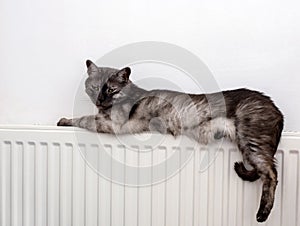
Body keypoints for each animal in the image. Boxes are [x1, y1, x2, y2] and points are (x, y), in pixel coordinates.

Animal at [58, 58, 284, 222]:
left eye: (111, 90)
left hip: (252, 141)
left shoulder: (113, 123)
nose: (99, 99)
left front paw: (65, 120)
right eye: (95, 87)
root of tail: (276, 108)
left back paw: (263, 213)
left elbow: (84, 119)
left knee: (272, 174)